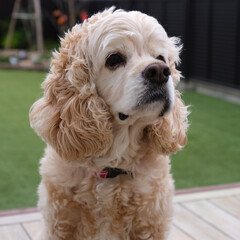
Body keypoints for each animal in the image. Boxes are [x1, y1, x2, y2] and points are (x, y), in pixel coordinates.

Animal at [29, 7, 188, 240]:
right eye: (114, 59)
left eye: (161, 58)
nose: (160, 71)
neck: (111, 166)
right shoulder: (58, 226)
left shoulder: (151, 225)